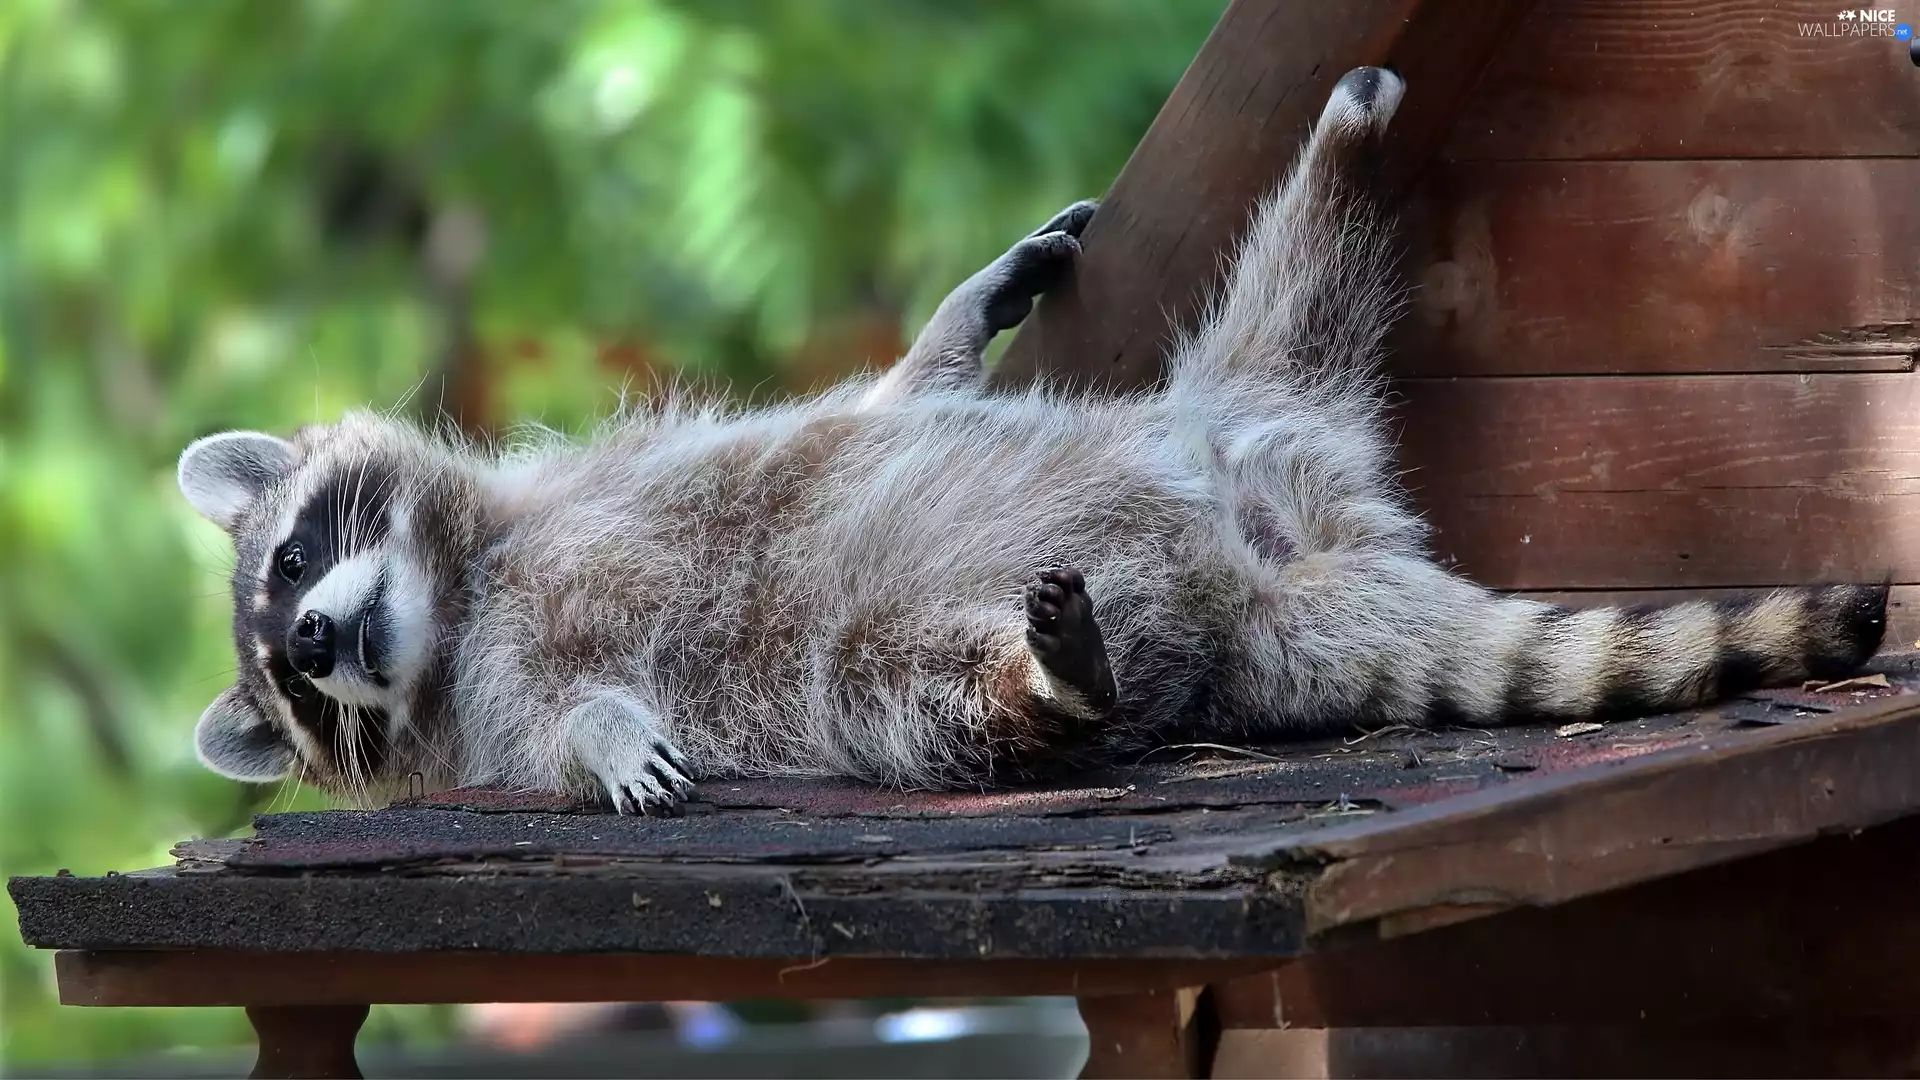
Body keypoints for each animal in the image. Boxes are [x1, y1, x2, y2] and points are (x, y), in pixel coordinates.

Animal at [179, 68, 1887, 813]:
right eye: (298, 687)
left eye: (296, 560)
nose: (316, 642)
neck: (466, 592)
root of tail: (1277, 581)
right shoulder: (499, 696)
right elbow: (557, 725)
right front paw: (606, 743)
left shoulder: (628, 474)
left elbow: (880, 404)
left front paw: (957, 317)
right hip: (946, 648)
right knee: (929, 695)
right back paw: (1046, 682)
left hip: (1256, 411)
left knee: (1299, 290)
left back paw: (1343, 153)